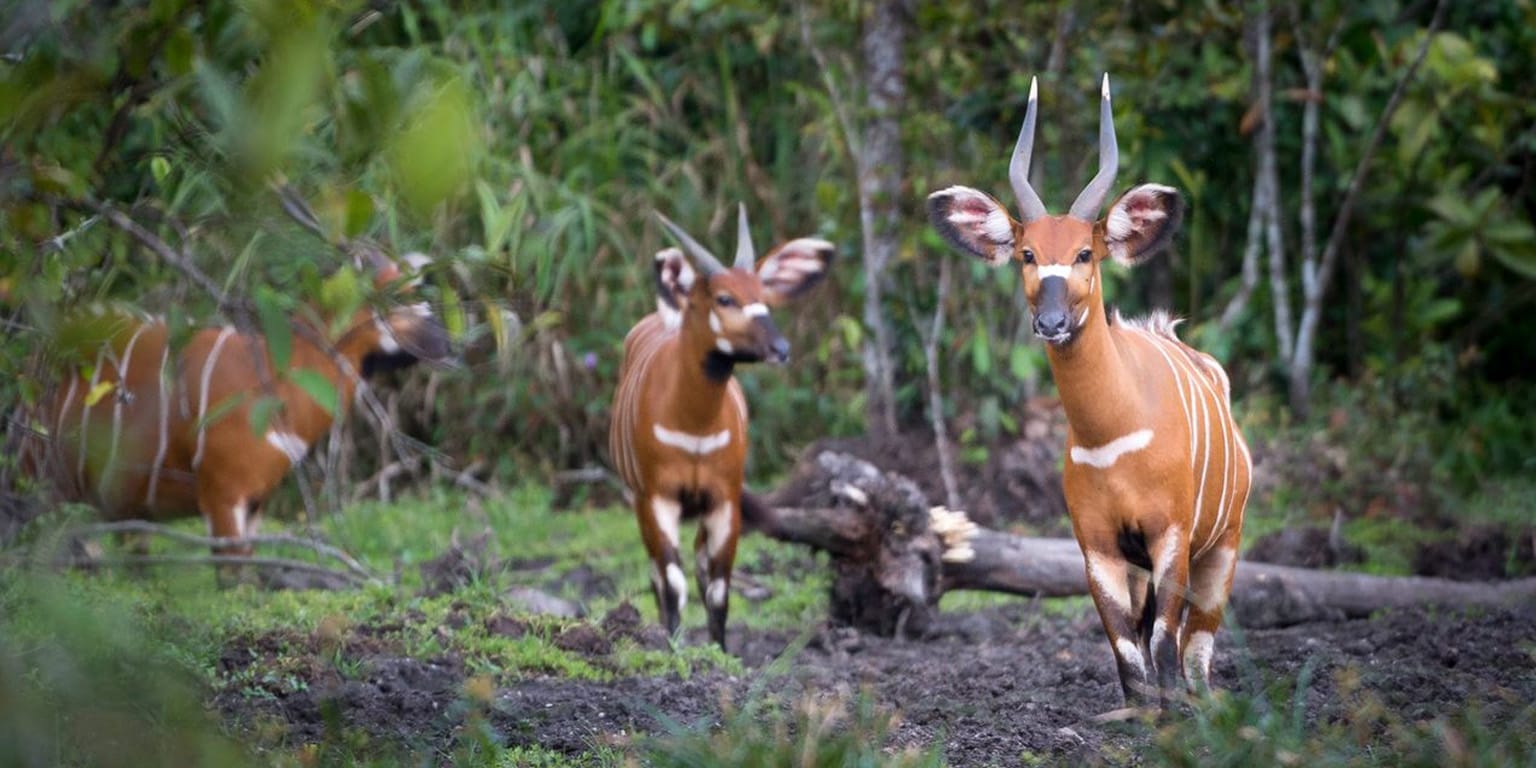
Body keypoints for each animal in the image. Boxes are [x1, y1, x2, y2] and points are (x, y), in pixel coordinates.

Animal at [24, 254, 448, 577]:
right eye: (397, 296)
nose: (448, 342)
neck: (277, 379)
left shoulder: (255, 499)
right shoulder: (222, 494)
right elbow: (232, 578)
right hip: (52, 489)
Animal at [608, 205, 835, 648]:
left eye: (764, 297)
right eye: (724, 298)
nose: (781, 349)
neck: (695, 426)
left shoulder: (724, 498)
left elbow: (717, 587)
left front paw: (721, 652)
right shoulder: (657, 496)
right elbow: (672, 581)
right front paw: (676, 650)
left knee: (698, 563)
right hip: (639, 499)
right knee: (658, 571)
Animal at [921, 74, 1247, 703]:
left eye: (1084, 253)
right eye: (1027, 254)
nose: (1051, 322)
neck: (1113, 433)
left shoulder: (1171, 537)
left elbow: (1164, 645)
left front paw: (1175, 716)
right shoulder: (1097, 546)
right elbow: (1128, 656)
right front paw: (1139, 715)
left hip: (1224, 544)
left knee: (1196, 650)